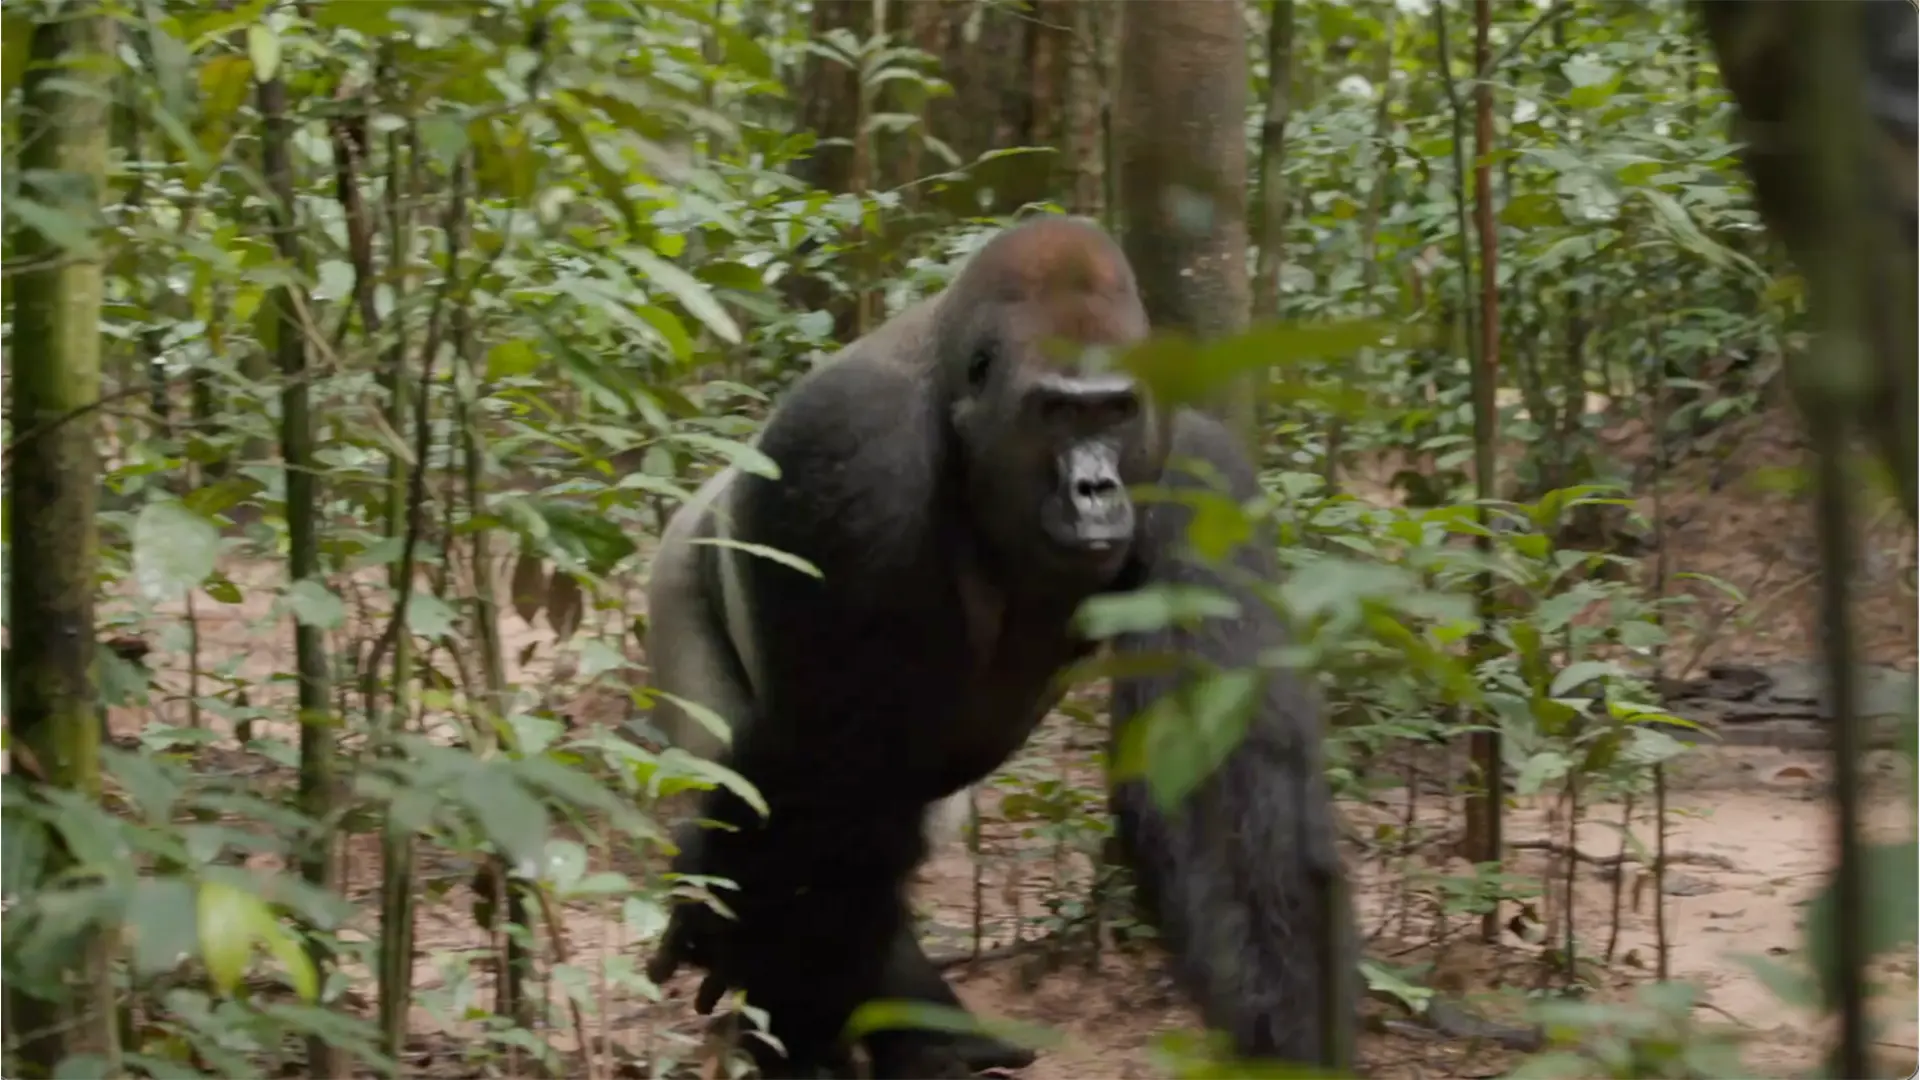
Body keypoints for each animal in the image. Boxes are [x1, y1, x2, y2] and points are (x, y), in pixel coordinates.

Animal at [641, 216, 1353, 1078]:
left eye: (1115, 411)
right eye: (1055, 412)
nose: (1095, 489)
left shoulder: (1196, 474)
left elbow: (1225, 788)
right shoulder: (852, 453)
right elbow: (825, 784)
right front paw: (797, 1031)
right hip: (678, 572)